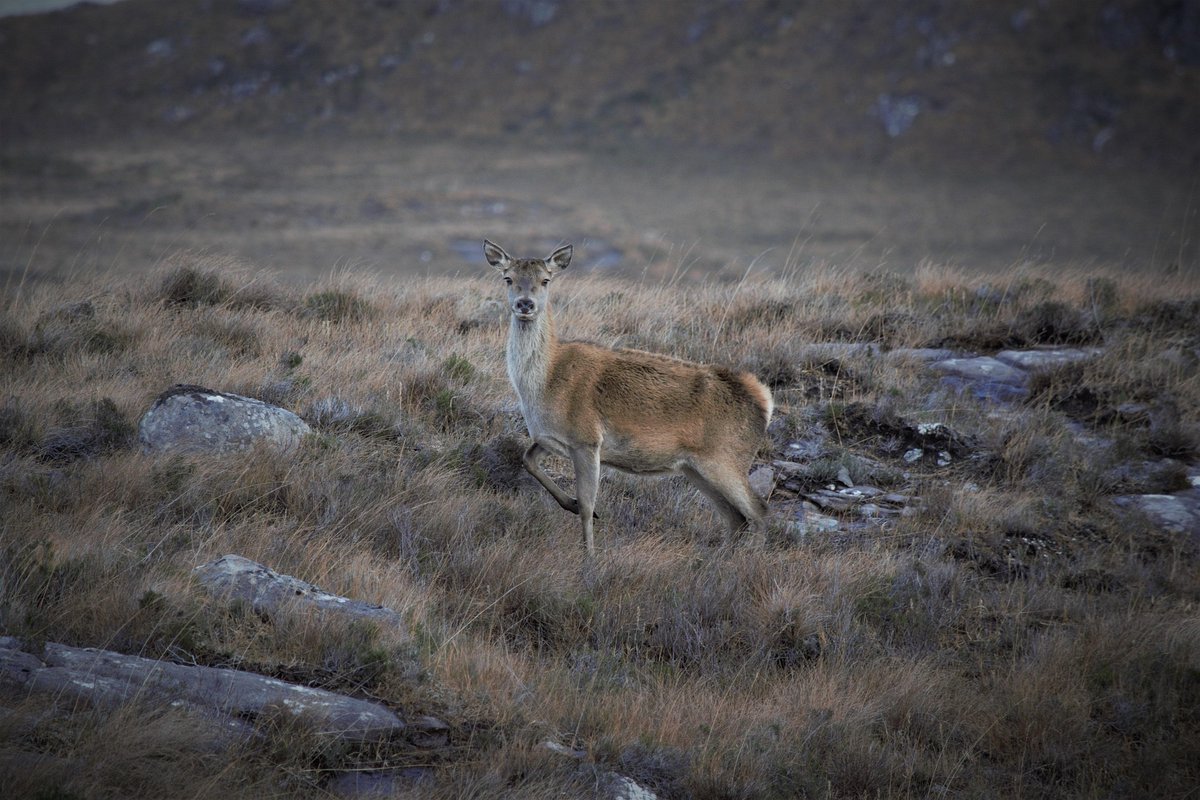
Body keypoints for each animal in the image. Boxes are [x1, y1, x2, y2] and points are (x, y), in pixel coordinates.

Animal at [483, 239, 773, 554]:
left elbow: (587, 504)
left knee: (759, 511)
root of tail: (764, 400)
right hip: (695, 467)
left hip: (726, 458)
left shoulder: (587, 439)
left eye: (545, 280)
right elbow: (527, 459)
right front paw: (570, 505)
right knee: (735, 518)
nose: (525, 304)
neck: (545, 383)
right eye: (508, 278)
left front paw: (589, 556)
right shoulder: (552, 438)